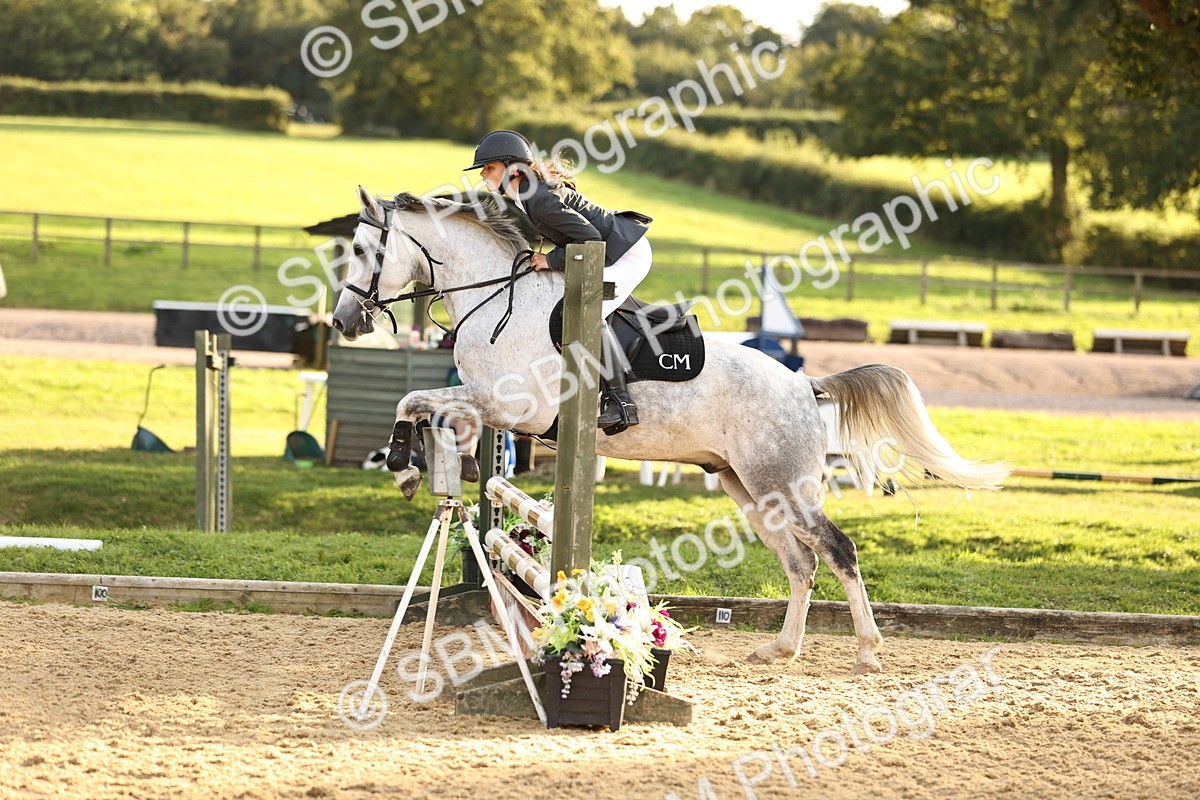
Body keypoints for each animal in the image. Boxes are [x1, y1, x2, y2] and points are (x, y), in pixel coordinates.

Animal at [333, 187, 1009, 674]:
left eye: (364, 251)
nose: (343, 321)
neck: (498, 298)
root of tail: (803, 384)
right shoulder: (491, 409)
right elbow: (431, 408)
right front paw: (431, 462)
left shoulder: (514, 410)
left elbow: (416, 398)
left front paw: (404, 464)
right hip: (747, 486)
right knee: (799, 562)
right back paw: (779, 649)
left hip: (782, 482)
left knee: (836, 551)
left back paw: (867, 650)